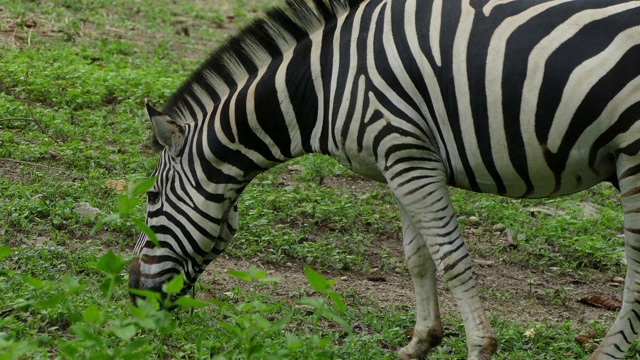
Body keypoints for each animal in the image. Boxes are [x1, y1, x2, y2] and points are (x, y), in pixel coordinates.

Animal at [127, 0, 640, 358]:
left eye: (151, 197)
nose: (131, 293)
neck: (321, 84)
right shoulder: (400, 160)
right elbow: (418, 258)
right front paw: (421, 342)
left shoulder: (407, 153)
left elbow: (451, 259)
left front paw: (479, 348)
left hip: (632, 158)